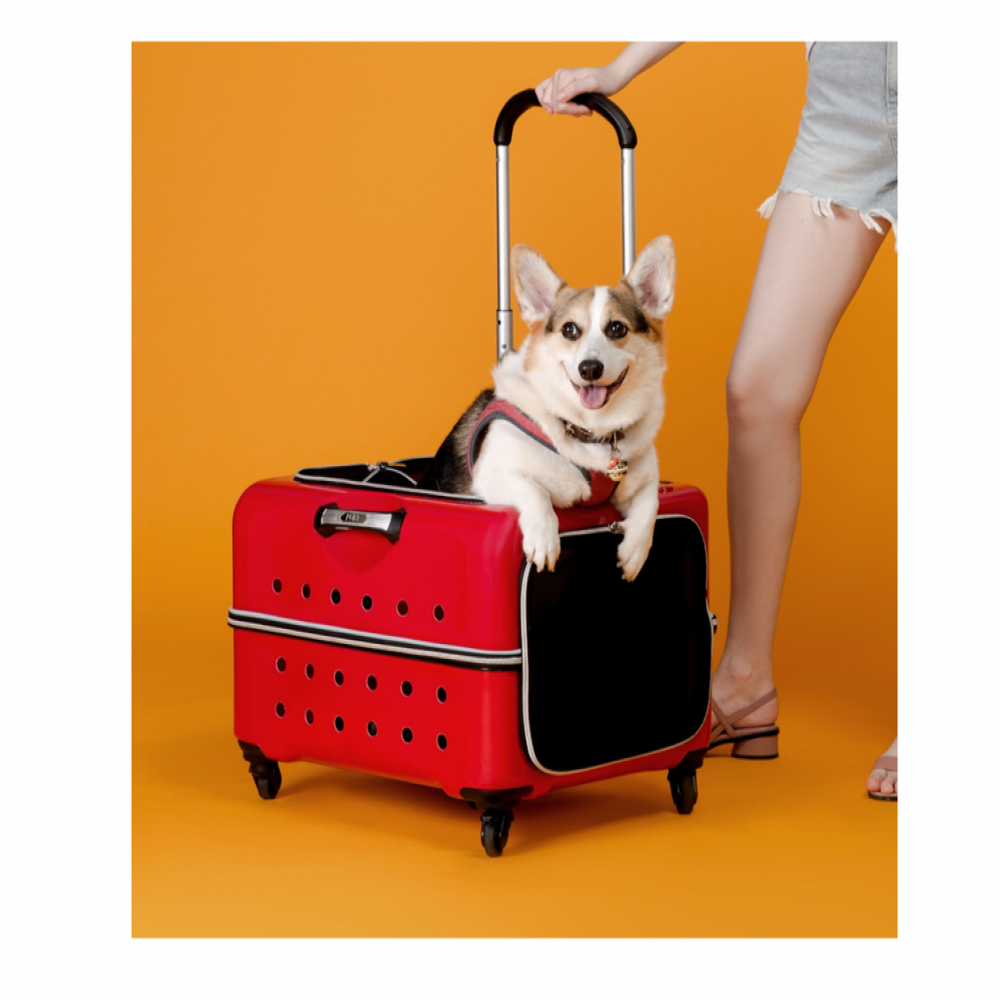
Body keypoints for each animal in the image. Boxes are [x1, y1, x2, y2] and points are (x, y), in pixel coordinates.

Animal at [423, 236, 676, 581]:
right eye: (569, 330)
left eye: (617, 329)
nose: (590, 368)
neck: (589, 429)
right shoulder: (493, 474)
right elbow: (535, 492)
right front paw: (544, 540)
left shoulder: (648, 480)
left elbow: (650, 505)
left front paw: (635, 551)